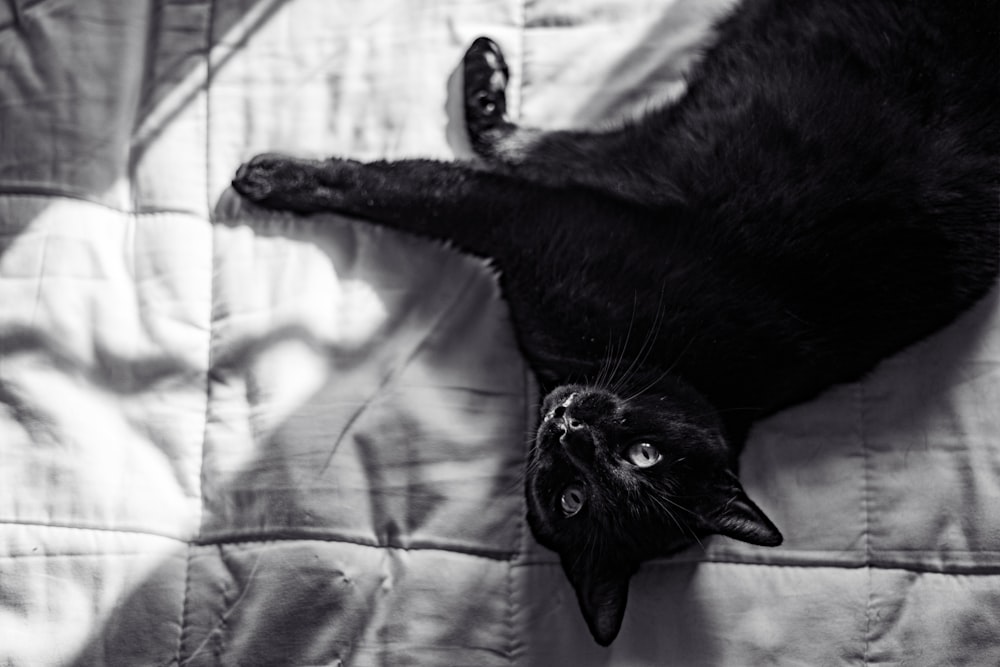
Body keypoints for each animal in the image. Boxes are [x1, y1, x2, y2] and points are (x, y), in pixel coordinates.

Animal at [230, 0, 996, 648]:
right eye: (644, 454)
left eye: (573, 497)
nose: (571, 430)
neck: (697, 369)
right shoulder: (575, 185)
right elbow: (464, 163)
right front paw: (479, 80)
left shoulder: (533, 216)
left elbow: (420, 182)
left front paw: (275, 177)